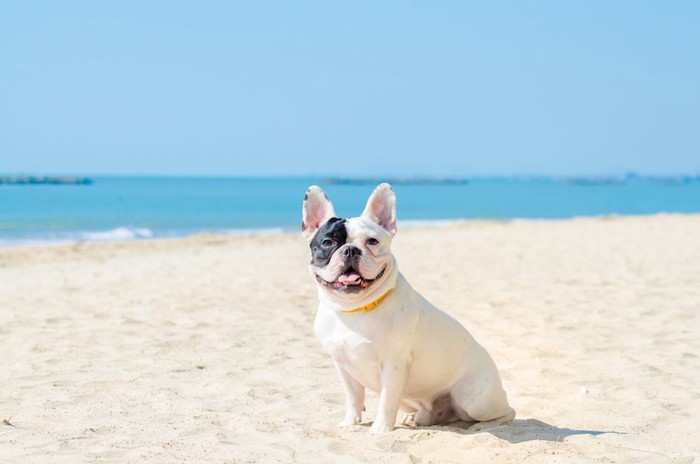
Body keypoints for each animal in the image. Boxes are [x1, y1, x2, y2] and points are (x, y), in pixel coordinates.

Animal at [300, 182, 516, 436]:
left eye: (372, 241)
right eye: (327, 243)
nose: (351, 250)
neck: (355, 309)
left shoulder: (393, 365)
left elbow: (386, 400)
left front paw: (380, 429)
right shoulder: (343, 365)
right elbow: (353, 397)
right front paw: (350, 422)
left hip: (473, 398)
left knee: (507, 412)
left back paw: (483, 425)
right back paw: (412, 418)